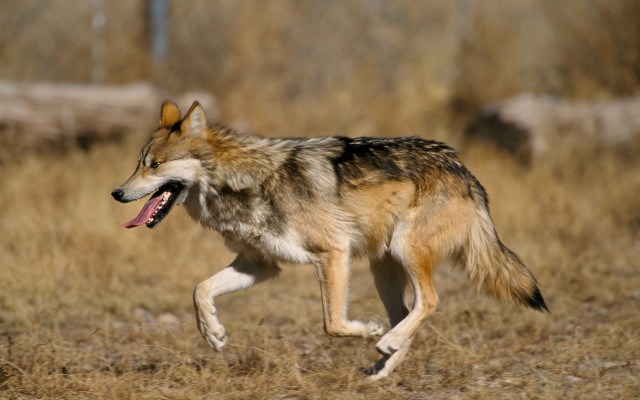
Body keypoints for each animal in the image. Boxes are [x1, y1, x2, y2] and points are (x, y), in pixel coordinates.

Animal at [111, 101, 548, 379]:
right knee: (407, 313)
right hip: (383, 270)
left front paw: (367, 329)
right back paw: (383, 365)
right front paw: (213, 334)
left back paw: (384, 341)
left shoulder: (332, 253)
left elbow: (333, 324)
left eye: (155, 165)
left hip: (405, 252)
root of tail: (463, 169)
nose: (116, 193)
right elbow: (200, 290)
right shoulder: (260, 265)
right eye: (138, 163)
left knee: (429, 302)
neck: (243, 182)